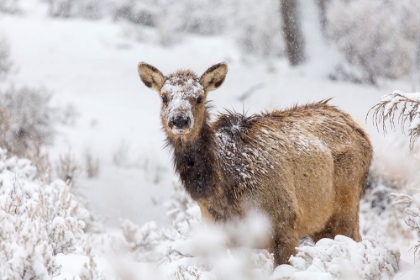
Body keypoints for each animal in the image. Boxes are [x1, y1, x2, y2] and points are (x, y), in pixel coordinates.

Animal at [138, 62, 374, 266]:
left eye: (199, 97)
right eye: (164, 97)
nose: (180, 120)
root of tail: (360, 129)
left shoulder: (285, 224)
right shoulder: (224, 235)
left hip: (346, 207)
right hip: (321, 223)